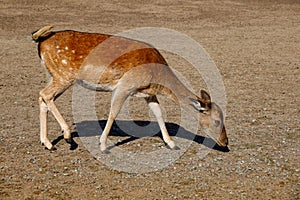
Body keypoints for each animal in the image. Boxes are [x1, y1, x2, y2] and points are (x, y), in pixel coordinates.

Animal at [32, 25, 227, 152]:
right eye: (217, 121)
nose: (225, 142)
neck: (157, 77)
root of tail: (40, 41)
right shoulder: (125, 86)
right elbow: (113, 112)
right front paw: (103, 145)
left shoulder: (148, 93)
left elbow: (158, 113)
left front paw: (171, 143)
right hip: (64, 76)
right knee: (44, 94)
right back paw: (66, 135)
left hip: (54, 75)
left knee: (43, 98)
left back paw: (47, 143)